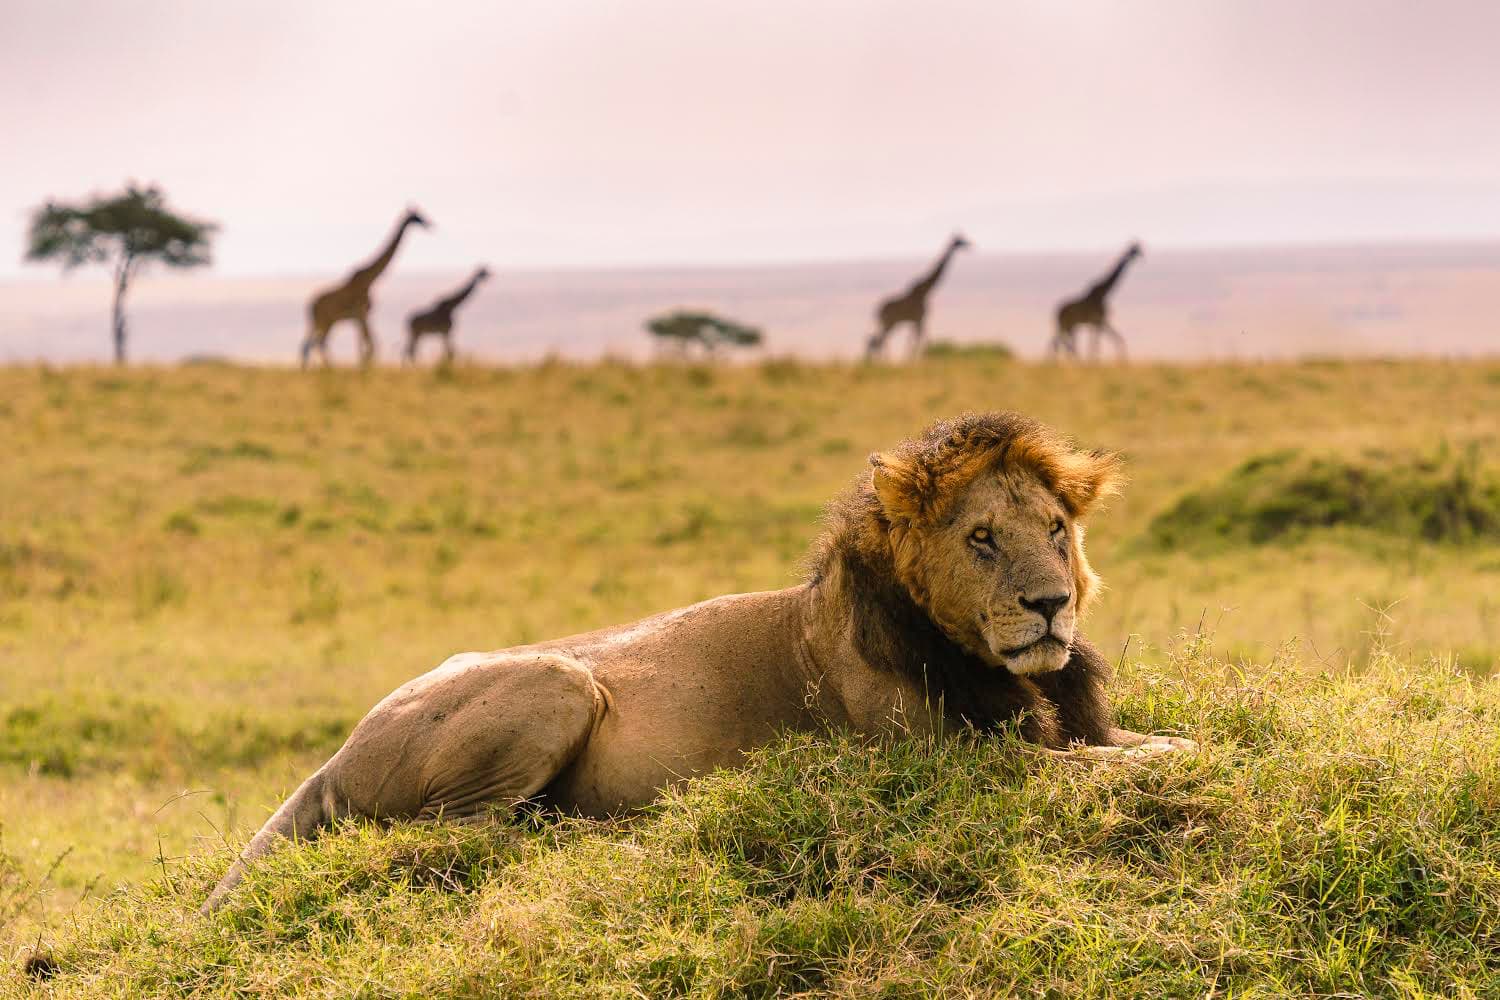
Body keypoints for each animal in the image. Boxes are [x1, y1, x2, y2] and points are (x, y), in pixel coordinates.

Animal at [202, 411, 1195, 912]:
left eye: (1056, 530)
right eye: (983, 539)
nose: (1050, 603)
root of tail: (337, 753)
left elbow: (1148, 744)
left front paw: (1171, 748)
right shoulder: (950, 764)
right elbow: (1119, 767)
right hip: (558, 682)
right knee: (459, 836)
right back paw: (594, 831)